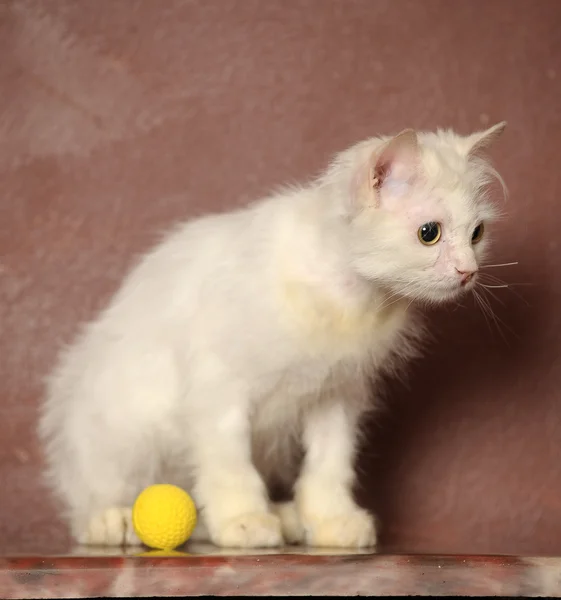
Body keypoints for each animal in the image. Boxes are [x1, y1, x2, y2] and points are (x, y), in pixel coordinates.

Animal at [37, 124, 506, 552]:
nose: (468, 272)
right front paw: (243, 521)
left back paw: (284, 518)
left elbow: (329, 464)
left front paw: (331, 520)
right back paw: (113, 521)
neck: (347, 299)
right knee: (94, 499)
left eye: (476, 234)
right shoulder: (218, 393)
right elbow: (230, 466)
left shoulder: (336, 397)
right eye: (430, 233)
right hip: (123, 431)